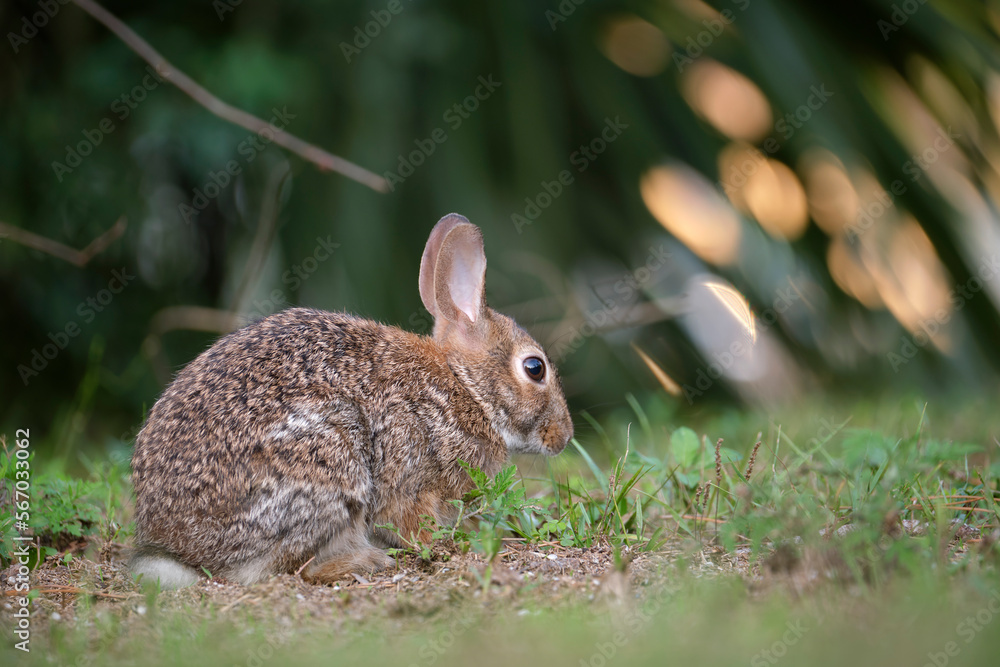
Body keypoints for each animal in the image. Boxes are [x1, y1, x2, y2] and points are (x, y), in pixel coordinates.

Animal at [129, 213, 574, 588]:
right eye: (534, 368)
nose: (565, 436)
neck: (465, 387)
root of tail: (175, 545)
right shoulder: (409, 477)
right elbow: (411, 523)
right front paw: (450, 543)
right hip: (327, 465)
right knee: (287, 569)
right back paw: (366, 561)